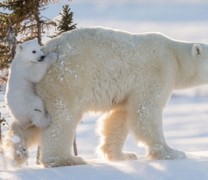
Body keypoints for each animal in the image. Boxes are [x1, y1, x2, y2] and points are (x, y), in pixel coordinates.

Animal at [35, 27, 206, 167]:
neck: (175, 56)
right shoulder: (158, 71)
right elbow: (146, 110)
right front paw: (173, 152)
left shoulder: (127, 91)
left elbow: (119, 116)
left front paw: (123, 155)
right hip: (66, 80)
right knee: (63, 118)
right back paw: (66, 159)